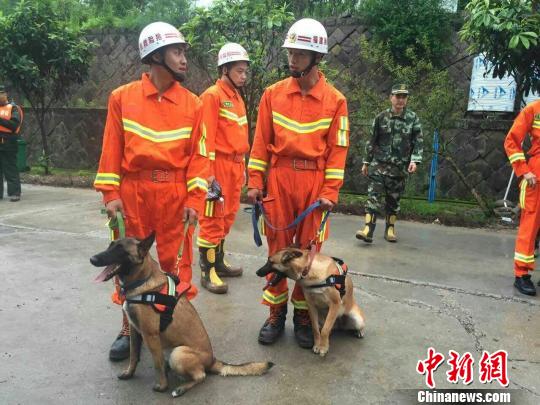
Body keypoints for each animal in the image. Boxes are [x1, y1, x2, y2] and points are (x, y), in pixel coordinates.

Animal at [90, 232, 274, 396]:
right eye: (110, 246)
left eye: (120, 250)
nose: (92, 259)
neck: (143, 280)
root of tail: (213, 360)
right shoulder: (135, 331)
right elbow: (133, 356)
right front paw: (129, 373)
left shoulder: (150, 335)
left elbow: (157, 364)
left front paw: (162, 386)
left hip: (177, 353)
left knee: (201, 375)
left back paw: (180, 388)